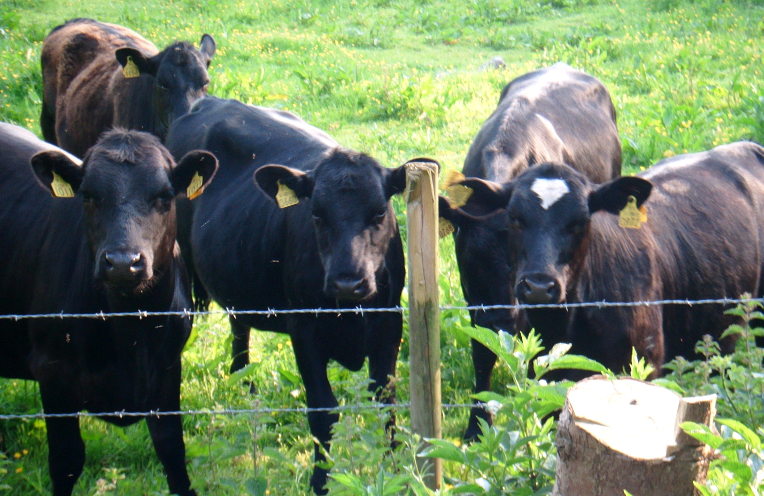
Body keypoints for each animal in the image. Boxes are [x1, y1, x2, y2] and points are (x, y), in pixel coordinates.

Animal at [0, 122, 217, 496]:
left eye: (164, 196)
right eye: (88, 196)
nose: (122, 263)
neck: (131, 330)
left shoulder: (166, 367)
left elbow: (173, 451)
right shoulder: (52, 372)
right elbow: (66, 460)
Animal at [166, 96, 416, 495]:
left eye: (380, 211)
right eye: (316, 214)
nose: (348, 282)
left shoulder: (389, 326)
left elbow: (385, 402)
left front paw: (393, 470)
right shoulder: (305, 331)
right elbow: (323, 409)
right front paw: (321, 480)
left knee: (239, 325)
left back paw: (244, 379)